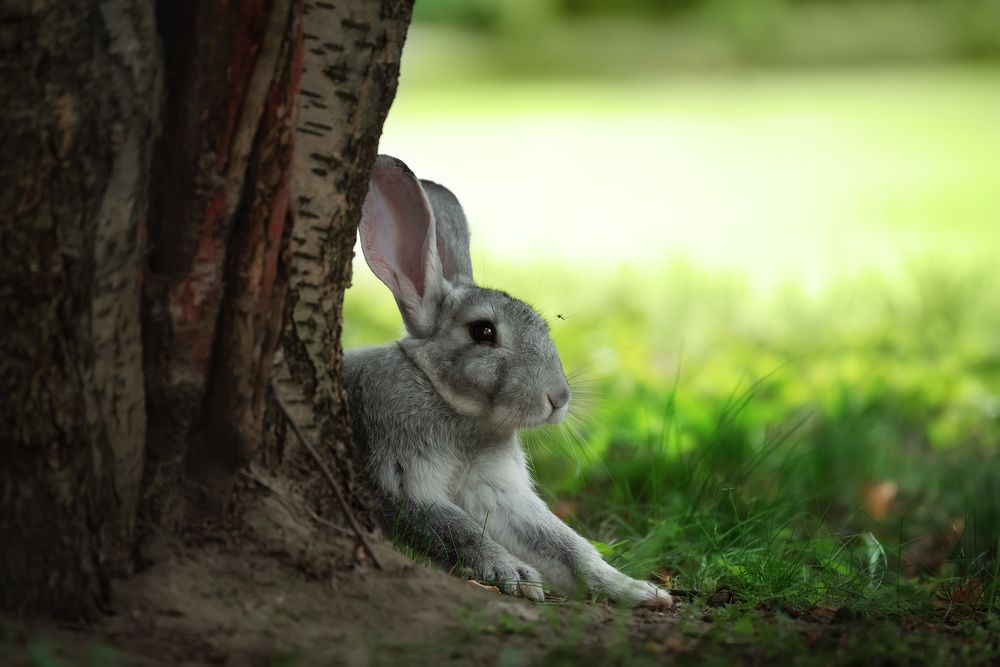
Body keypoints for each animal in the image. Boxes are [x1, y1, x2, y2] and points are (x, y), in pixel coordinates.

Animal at [343, 155, 671, 609]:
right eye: (483, 332)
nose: (559, 398)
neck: (458, 412)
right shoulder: (400, 477)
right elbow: (457, 531)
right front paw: (514, 574)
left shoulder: (500, 494)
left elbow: (567, 546)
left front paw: (634, 589)